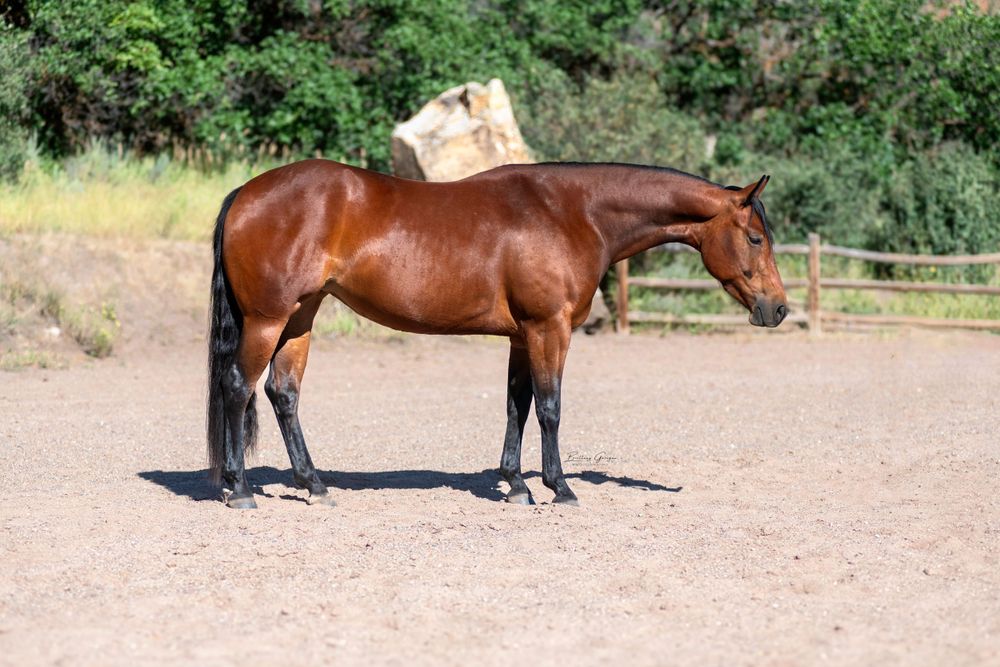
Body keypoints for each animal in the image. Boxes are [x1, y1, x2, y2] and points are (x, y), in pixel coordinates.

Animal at [207, 160, 787, 509]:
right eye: (756, 238)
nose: (778, 309)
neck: (572, 213)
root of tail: (245, 192)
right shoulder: (550, 329)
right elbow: (550, 408)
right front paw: (559, 487)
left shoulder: (521, 336)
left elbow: (517, 406)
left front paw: (516, 485)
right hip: (268, 319)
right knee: (237, 387)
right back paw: (240, 490)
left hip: (299, 317)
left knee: (283, 394)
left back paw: (315, 485)